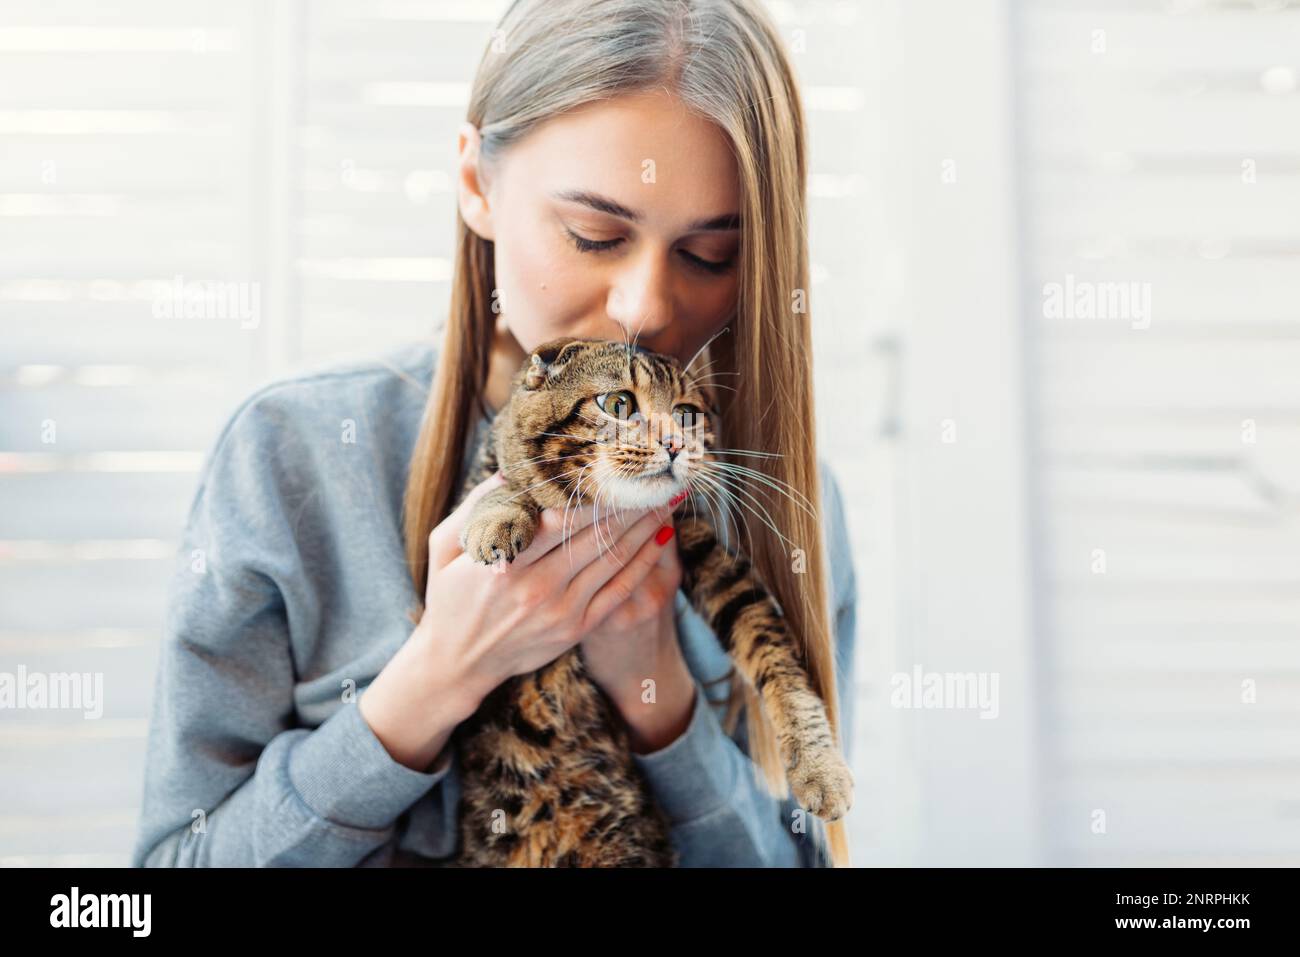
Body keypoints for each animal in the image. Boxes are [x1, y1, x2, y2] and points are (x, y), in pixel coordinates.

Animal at [447, 335, 852, 868]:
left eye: (686, 414)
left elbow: (776, 658)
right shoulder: (481, 480)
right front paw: (498, 518)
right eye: (618, 404)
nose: (675, 444)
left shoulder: (706, 553)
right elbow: (505, 486)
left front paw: (820, 766)